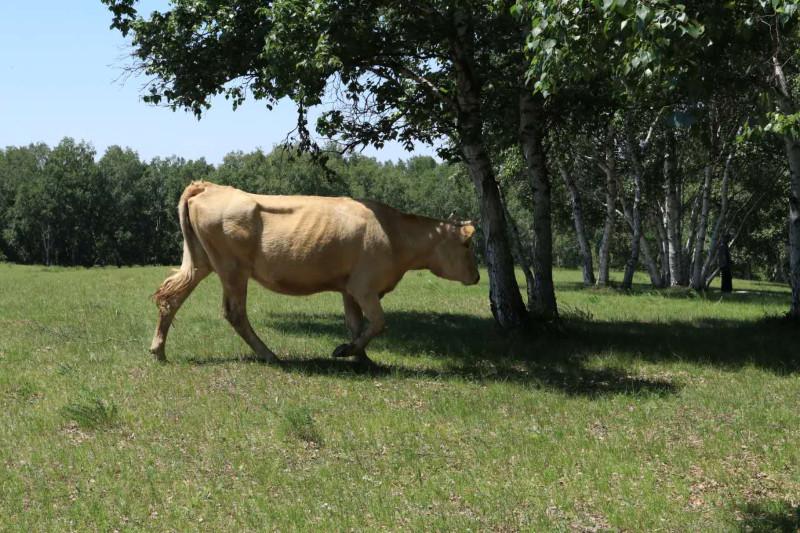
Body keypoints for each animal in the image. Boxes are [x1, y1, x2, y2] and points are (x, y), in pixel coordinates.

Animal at [149, 181, 478, 364]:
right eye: (467, 244)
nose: (476, 277)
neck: (395, 233)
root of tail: (210, 186)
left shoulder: (349, 288)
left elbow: (356, 324)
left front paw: (362, 358)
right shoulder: (365, 286)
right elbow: (378, 322)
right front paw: (346, 351)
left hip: (200, 261)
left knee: (170, 296)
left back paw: (159, 351)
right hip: (232, 269)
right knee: (235, 312)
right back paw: (268, 355)